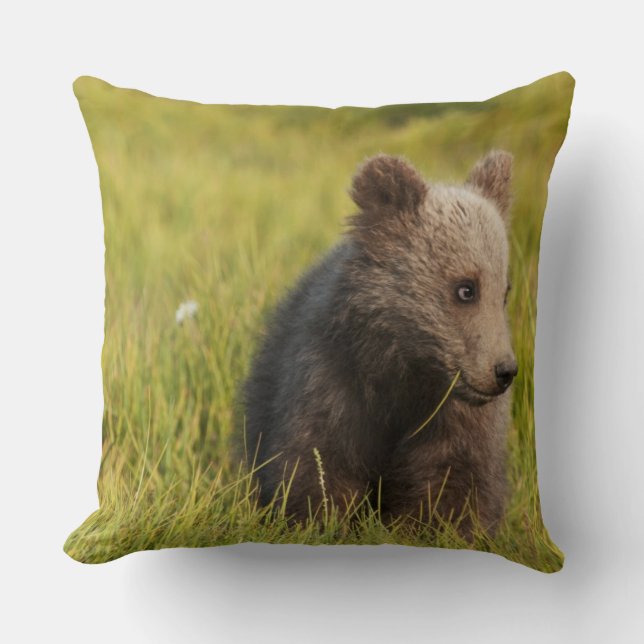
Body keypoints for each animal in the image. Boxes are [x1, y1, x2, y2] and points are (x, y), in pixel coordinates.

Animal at [242, 150, 517, 537]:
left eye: (504, 292)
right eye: (466, 288)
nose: (504, 371)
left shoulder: (456, 417)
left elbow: (456, 484)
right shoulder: (332, 381)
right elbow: (319, 466)